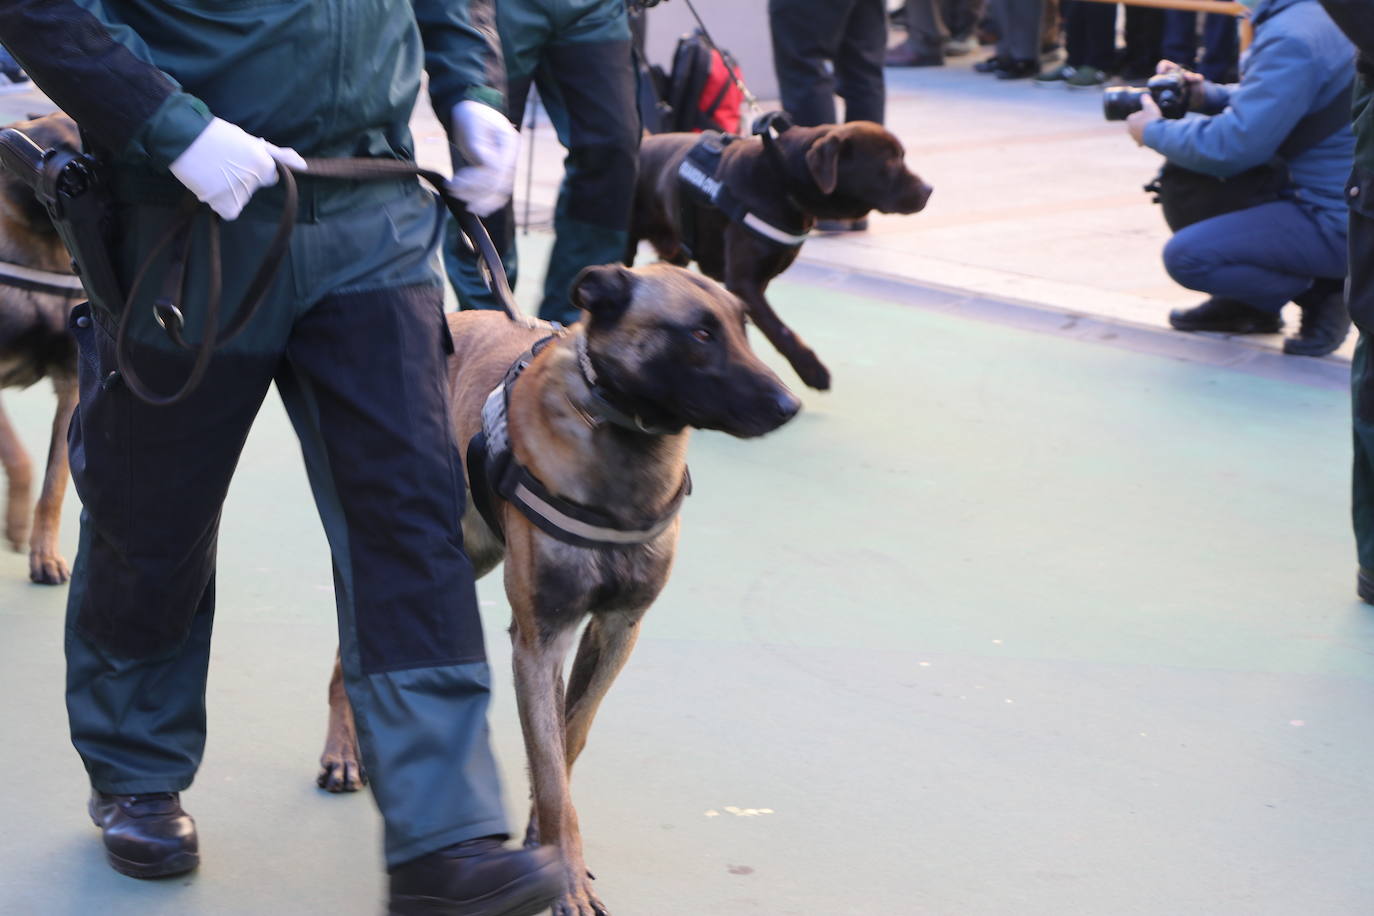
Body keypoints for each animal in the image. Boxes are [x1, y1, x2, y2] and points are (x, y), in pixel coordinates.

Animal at [316, 263, 802, 916]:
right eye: (699, 335)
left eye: (741, 326)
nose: (789, 404)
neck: (623, 444)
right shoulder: (539, 642)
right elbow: (550, 770)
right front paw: (566, 878)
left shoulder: (615, 630)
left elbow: (567, 742)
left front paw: (539, 839)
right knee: (354, 639)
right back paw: (343, 749)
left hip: (475, 554)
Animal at [632, 120, 934, 390]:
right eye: (889, 162)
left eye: (902, 156)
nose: (929, 190)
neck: (783, 181)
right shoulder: (744, 283)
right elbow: (780, 330)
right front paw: (810, 369)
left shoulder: (758, 283)